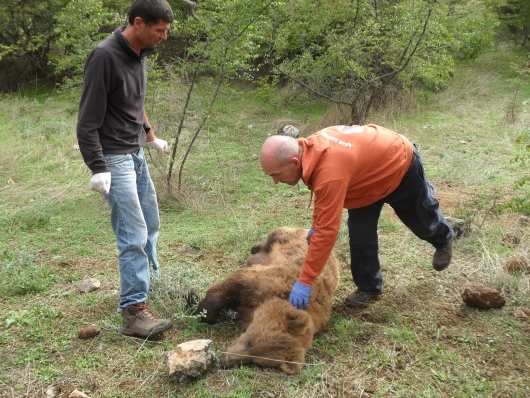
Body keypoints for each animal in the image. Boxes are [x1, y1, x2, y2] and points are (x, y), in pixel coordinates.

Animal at [190, 227, 338, 374]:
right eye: (249, 343)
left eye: (255, 361)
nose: (224, 361)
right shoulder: (265, 281)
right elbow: (228, 288)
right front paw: (198, 306)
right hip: (288, 236)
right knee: (273, 237)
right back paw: (256, 247)